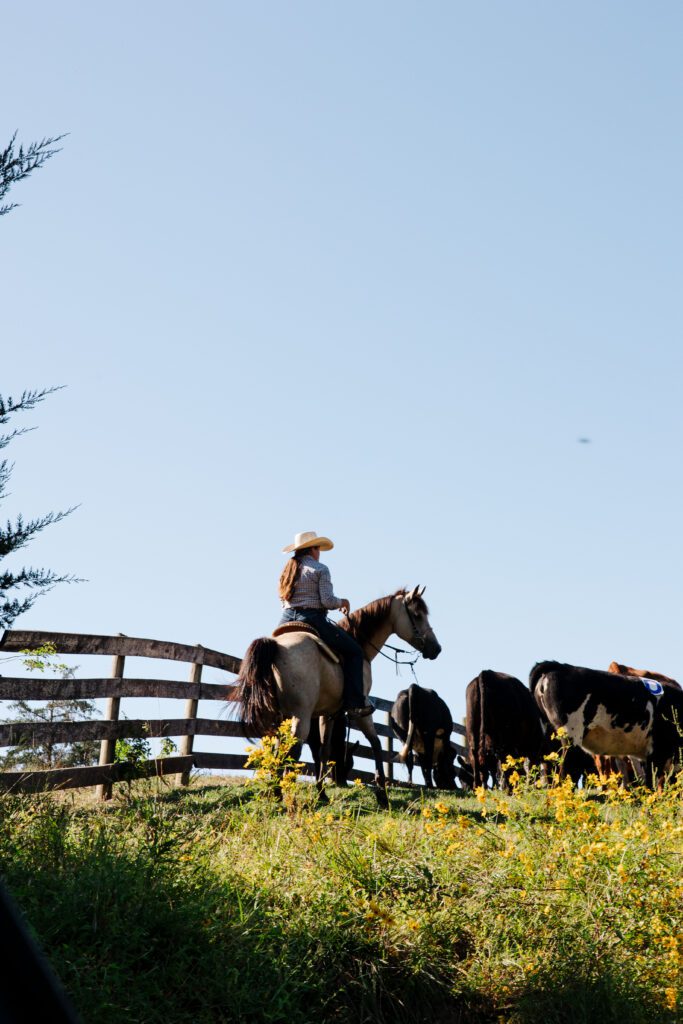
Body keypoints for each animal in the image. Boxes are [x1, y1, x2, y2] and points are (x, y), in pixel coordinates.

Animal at [232, 585, 440, 806]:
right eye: (417, 615)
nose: (436, 648)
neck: (359, 642)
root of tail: (276, 647)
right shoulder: (361, 710)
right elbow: (375, 743)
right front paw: (381, 793)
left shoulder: (329, 713)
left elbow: (324, 750)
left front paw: (322, 793)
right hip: (301, 715)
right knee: (293, 750)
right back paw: (287, 798)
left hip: (280, 718)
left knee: (278, 750)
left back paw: (277, 793)